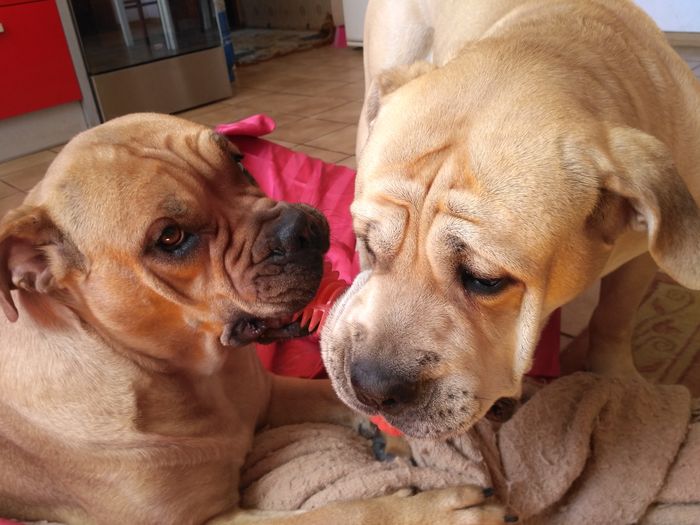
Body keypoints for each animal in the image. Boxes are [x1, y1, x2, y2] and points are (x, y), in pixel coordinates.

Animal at [0, 114, 507, 524]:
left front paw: (390, 434)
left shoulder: (270, 394)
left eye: (240, 161)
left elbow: (334, 392)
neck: (196, 378)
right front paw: (434, 511)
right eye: (170, 238)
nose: (301, 229)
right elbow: (343, 513)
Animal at [321, 0, 700, 439]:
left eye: (486, 281)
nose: (372, 386)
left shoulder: (641, 258)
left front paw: (615, 378)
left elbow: (615, 316)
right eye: (366, 242)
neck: (558, 48)